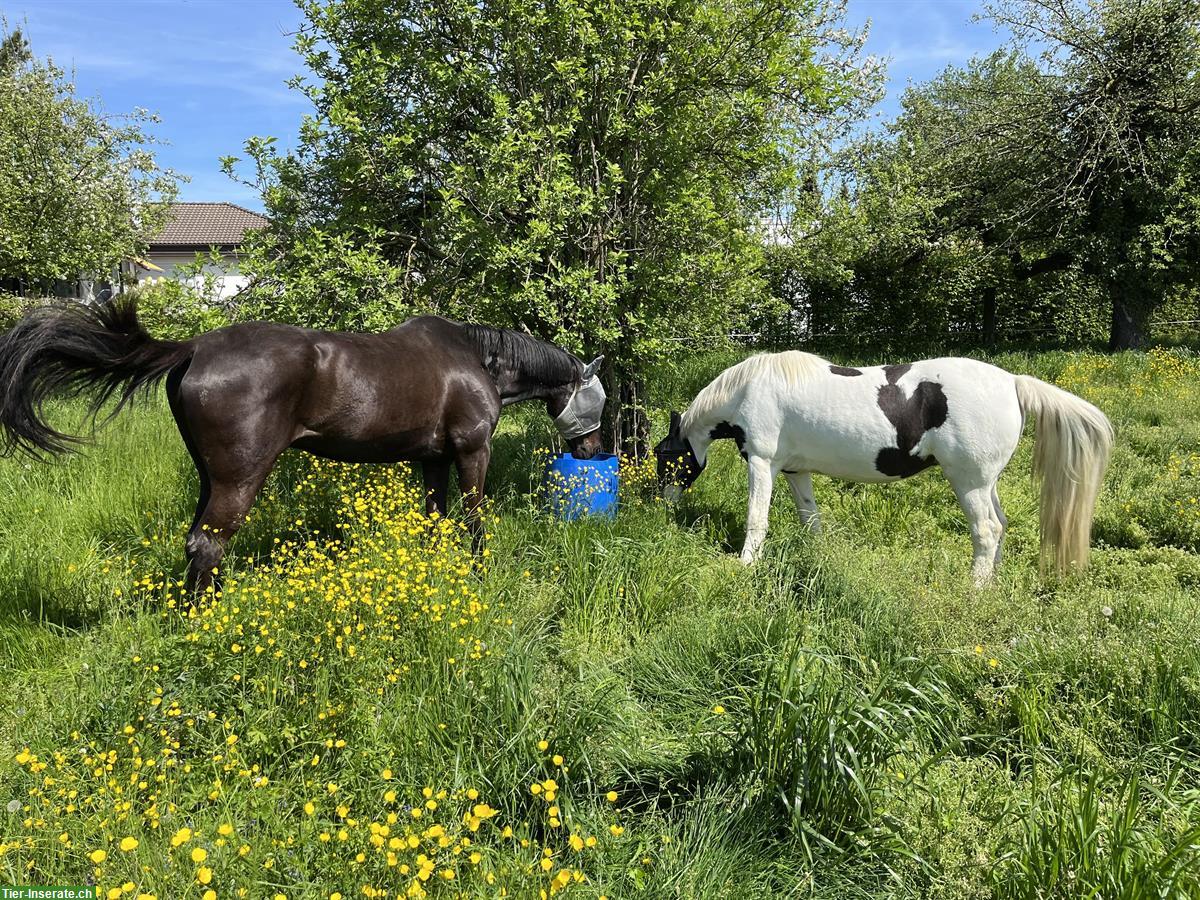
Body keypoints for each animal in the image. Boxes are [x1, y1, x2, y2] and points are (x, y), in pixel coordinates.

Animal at [0, 301, 604, 592]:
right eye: (598, 397)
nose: (594, 450)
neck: (476, 359)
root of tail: (195, 347)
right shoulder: (471, 451)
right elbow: (475, 520)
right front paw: (477, 574)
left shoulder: (431, 460)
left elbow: (436, 521)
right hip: (240, 477)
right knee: (208, 544)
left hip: (210, 476)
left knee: (198, 544)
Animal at [657, 355, 1113, 585]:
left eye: (664, 456)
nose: (662, 507)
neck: (750, 388)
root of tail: (1012, 382)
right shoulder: (794, 472)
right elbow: (810, 520)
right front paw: (819, 557)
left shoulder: (762, 463)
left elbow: (757, 518)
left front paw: (745, 564)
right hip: (987, 483)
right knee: (1000, 527)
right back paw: (994, 583)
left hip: (968, 481)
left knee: (986, 531)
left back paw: (975, 590)